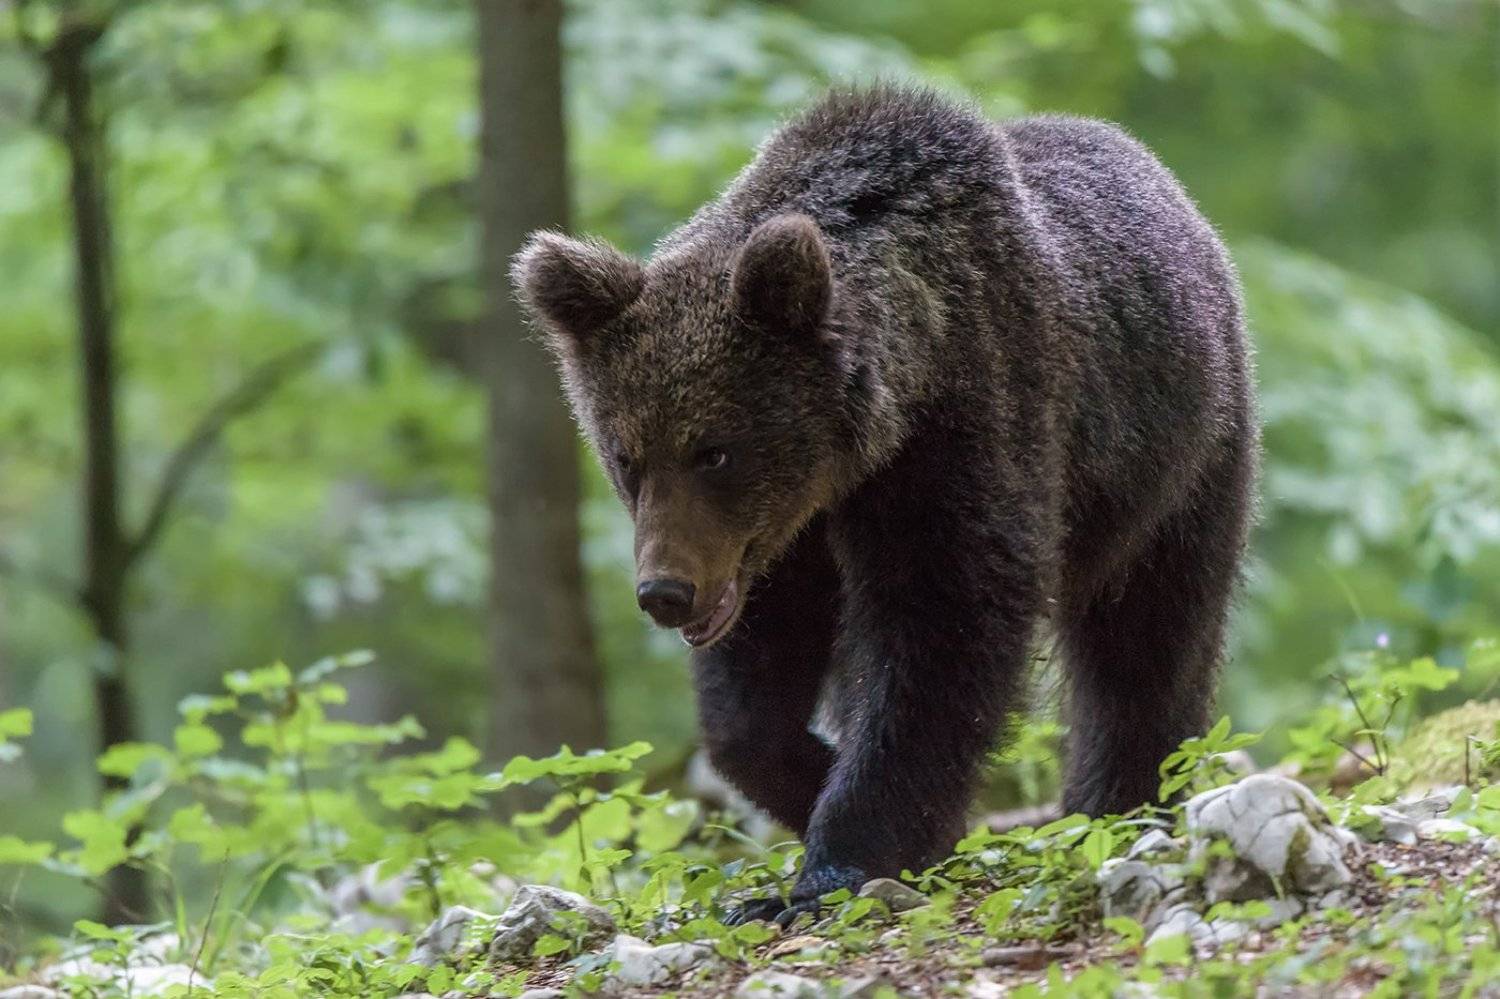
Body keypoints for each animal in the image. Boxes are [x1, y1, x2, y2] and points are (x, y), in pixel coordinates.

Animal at [512, 86, 1256, 925]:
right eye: (627, 456)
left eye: (715, 450)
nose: (665, 592)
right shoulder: (785, 539)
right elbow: (754, 695)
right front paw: (818, 782)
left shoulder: (962, 431)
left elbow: (944, 628)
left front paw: (836, 863)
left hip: (1177, 458)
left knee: (1150, 637)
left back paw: (1120, 802)